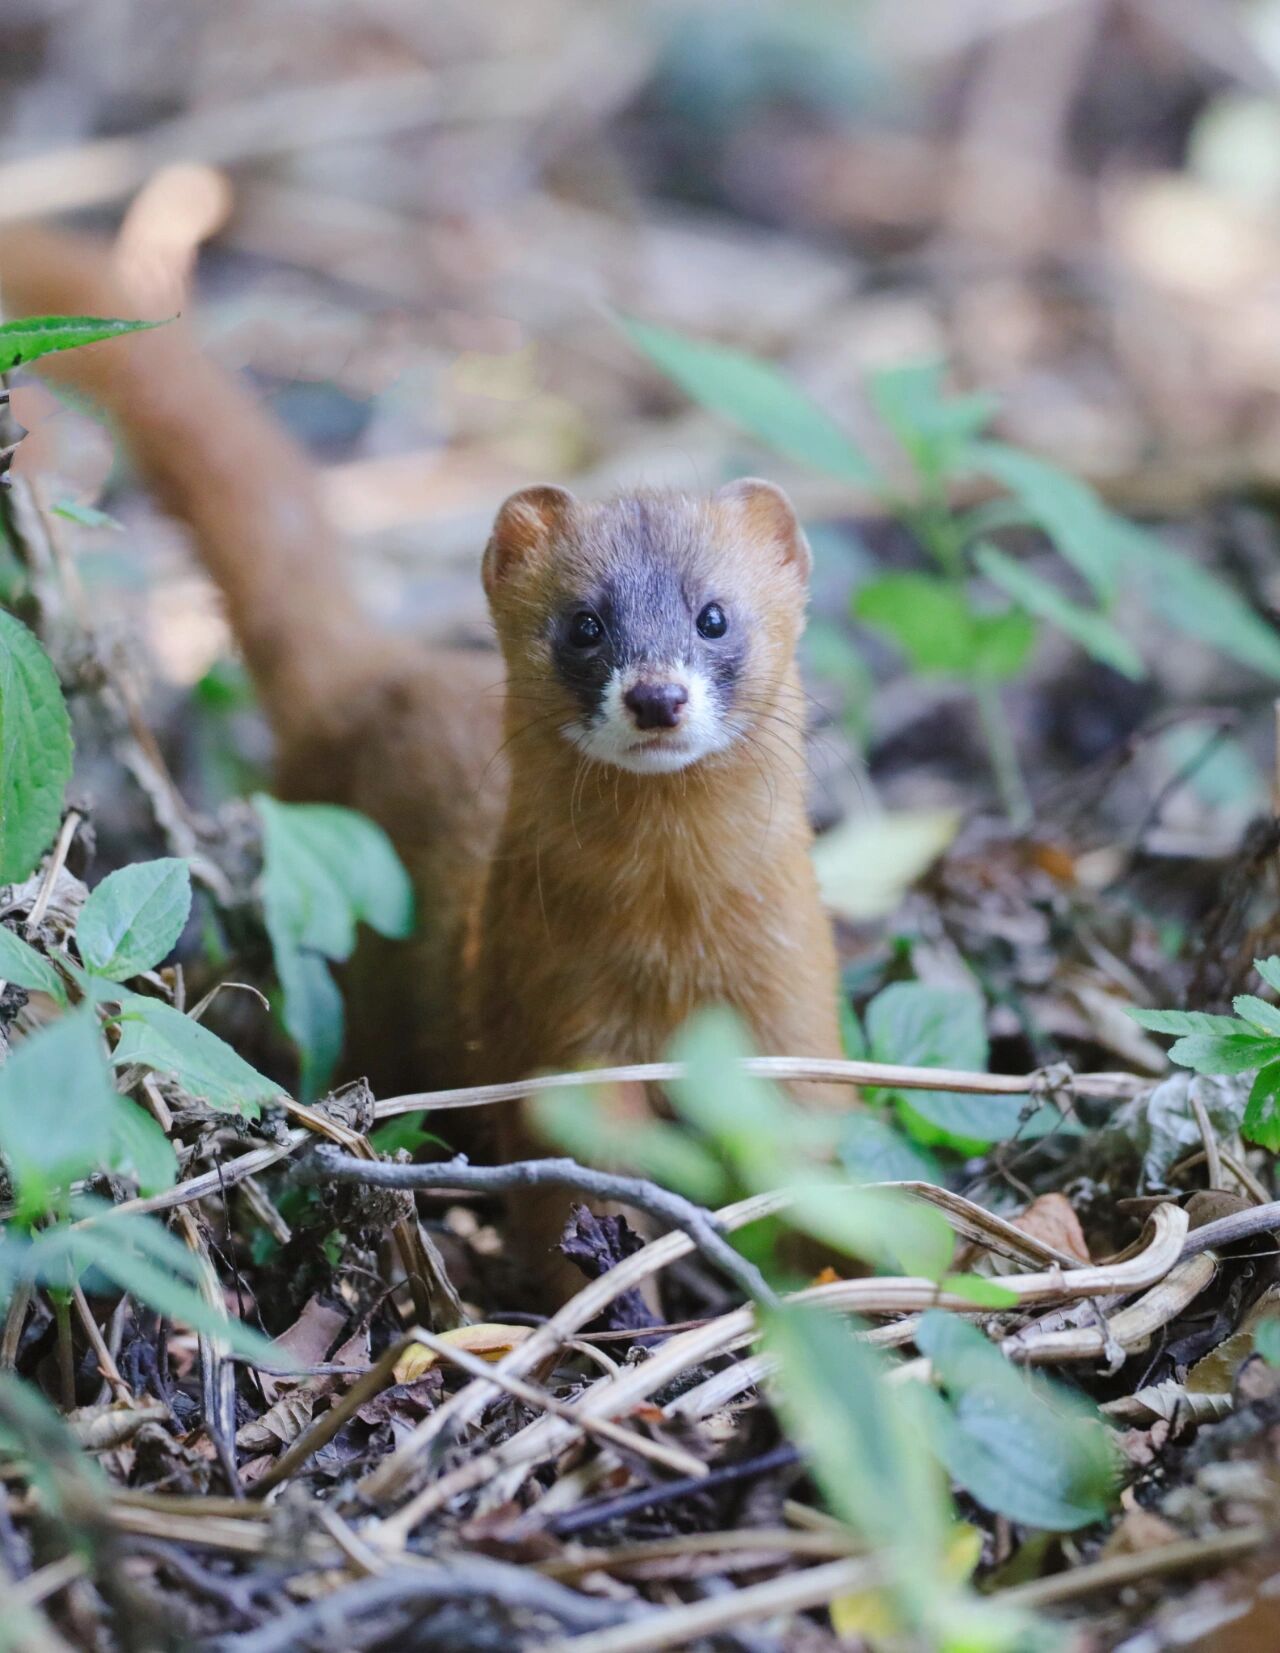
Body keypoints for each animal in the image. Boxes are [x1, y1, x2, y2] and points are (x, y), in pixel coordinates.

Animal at [0, 219, 846, 1302]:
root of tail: (374, 668)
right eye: (582, 624)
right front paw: (616, 1307)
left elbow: (819, 1166)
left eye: (714, 615)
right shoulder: (559, 1029)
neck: (672, 945)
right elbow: (573, 1189)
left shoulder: (793, 1002)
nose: (655, 695)